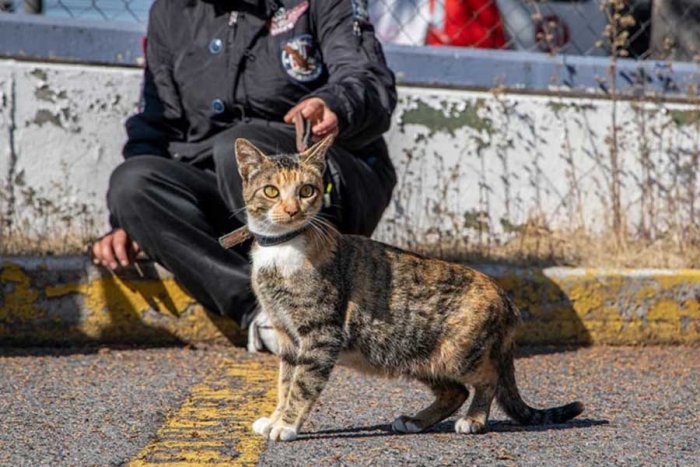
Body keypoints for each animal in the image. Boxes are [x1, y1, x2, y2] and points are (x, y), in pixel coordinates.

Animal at [235, 136, 584, 442]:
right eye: (271, 191)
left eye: (306, 190)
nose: (293, 210)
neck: (281, 250)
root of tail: (504, 296)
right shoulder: (286, 336)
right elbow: (285, 382)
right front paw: (275, 417)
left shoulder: (321, 334)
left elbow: (302, 385)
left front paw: (287, 425)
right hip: (419, 354)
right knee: (455, 391)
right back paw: (416, 421)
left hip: (457, 355)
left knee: (488, 379)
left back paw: (473, 419)